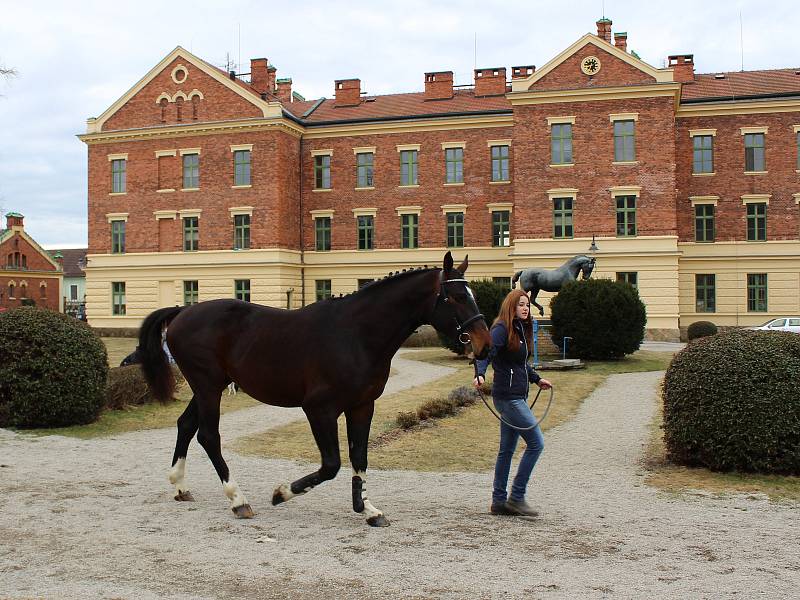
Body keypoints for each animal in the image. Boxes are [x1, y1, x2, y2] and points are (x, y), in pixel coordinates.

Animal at [137, 251, 488, 528]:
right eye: (456, 297)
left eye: (471, 294)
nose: (483, 343)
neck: (356, 334)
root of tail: (183, 310)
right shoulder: (320, 409)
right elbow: (331, 464)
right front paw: (282, 493)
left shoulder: (362, 406)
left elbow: (359, 456)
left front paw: (367, 509)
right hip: (208, 386)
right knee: (209, 436)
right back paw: (238, 500)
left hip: (209, 386)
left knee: (186, 424)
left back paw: (180, 486)